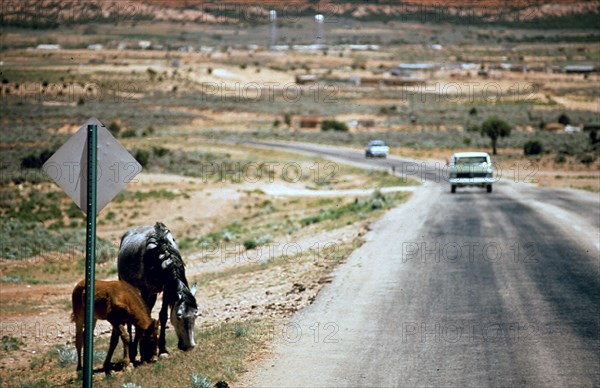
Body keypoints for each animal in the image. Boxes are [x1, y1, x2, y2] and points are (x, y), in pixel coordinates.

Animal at [118, 223, 199, 356]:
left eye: (196, 315)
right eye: (179, 316)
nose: (190, 346)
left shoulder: (166, 290)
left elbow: (163, 316)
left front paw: (162, 349)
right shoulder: (146, 290)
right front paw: (141, 351)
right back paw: (132, 349)